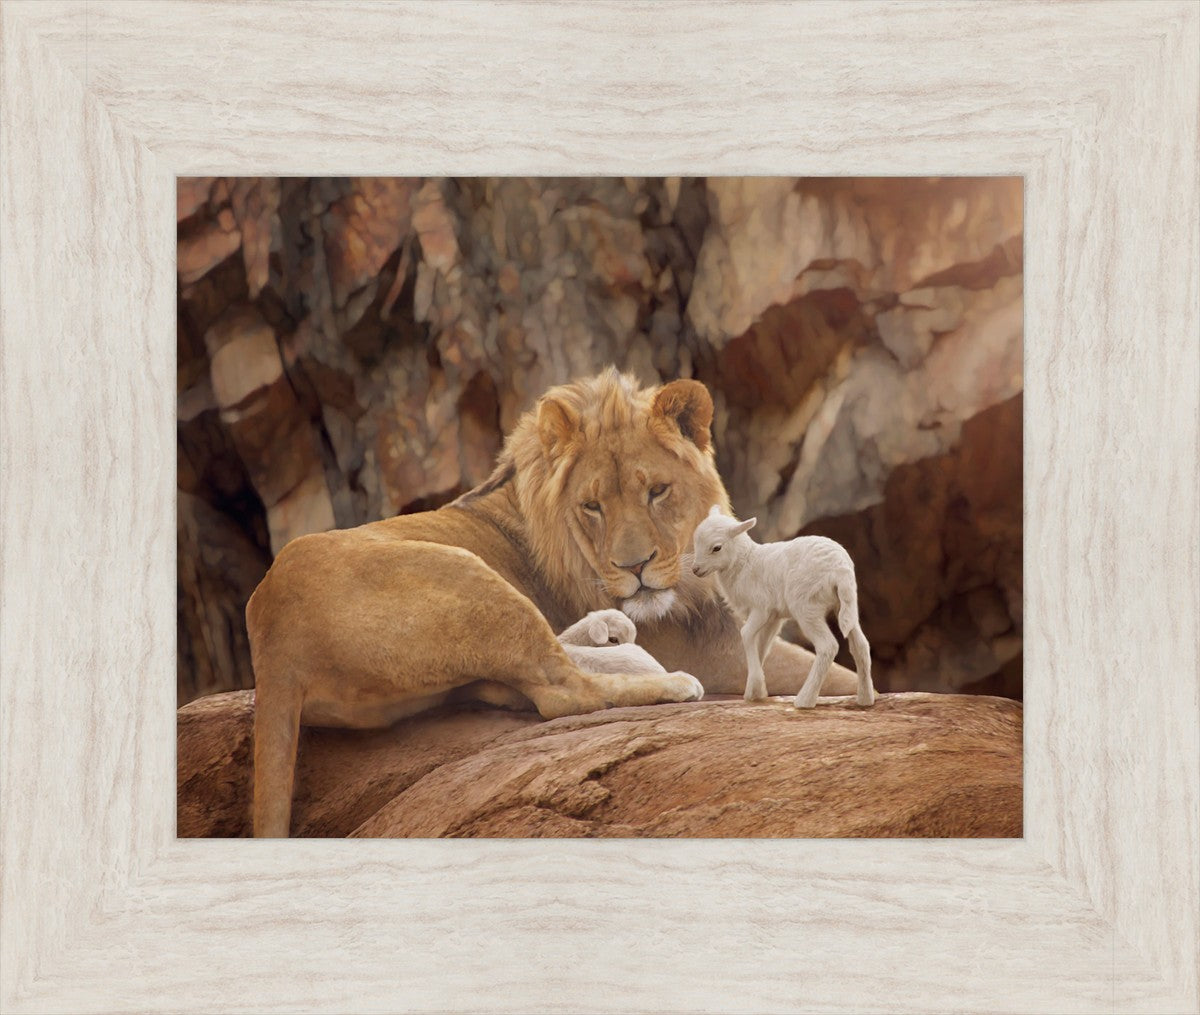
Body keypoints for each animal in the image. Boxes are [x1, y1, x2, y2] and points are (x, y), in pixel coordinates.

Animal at [691, 506, 875, 709]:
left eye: (717, 548)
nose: (695, 570)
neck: (744, 563)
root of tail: (840, 569)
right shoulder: (774, 617)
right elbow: (762, 646)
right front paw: (755, 691)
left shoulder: (761, 608)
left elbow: (746, 634)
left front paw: (755, 687)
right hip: (846, 604)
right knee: (861, 645)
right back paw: (865, 699)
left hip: (806, 606)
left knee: (828, 646)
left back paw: (805, 700)